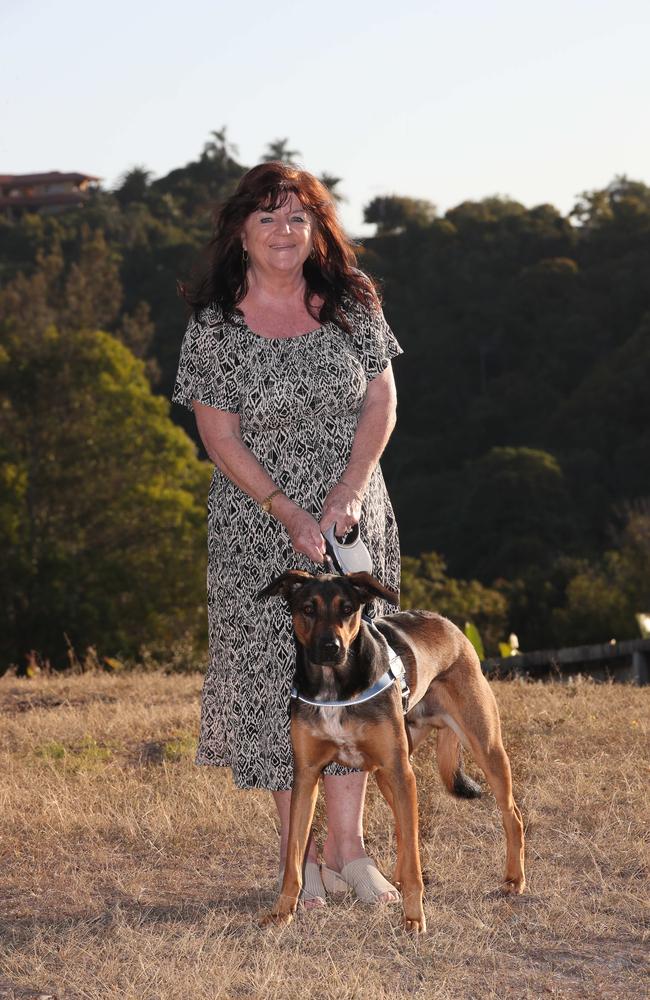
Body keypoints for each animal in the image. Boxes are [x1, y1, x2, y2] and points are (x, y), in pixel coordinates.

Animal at [256, 576, 524, 932]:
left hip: (481, 748)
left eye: (347, 608)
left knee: (512, 815)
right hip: (391, 771)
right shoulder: (307, 776)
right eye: (308, 609)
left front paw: (414, 917)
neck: (336, 686)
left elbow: (413, 860)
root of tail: (448, 624)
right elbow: (293, 857)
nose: (331, 648)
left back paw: (515, 879)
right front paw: (283, 911)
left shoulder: (400, 772)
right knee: (403, 829)